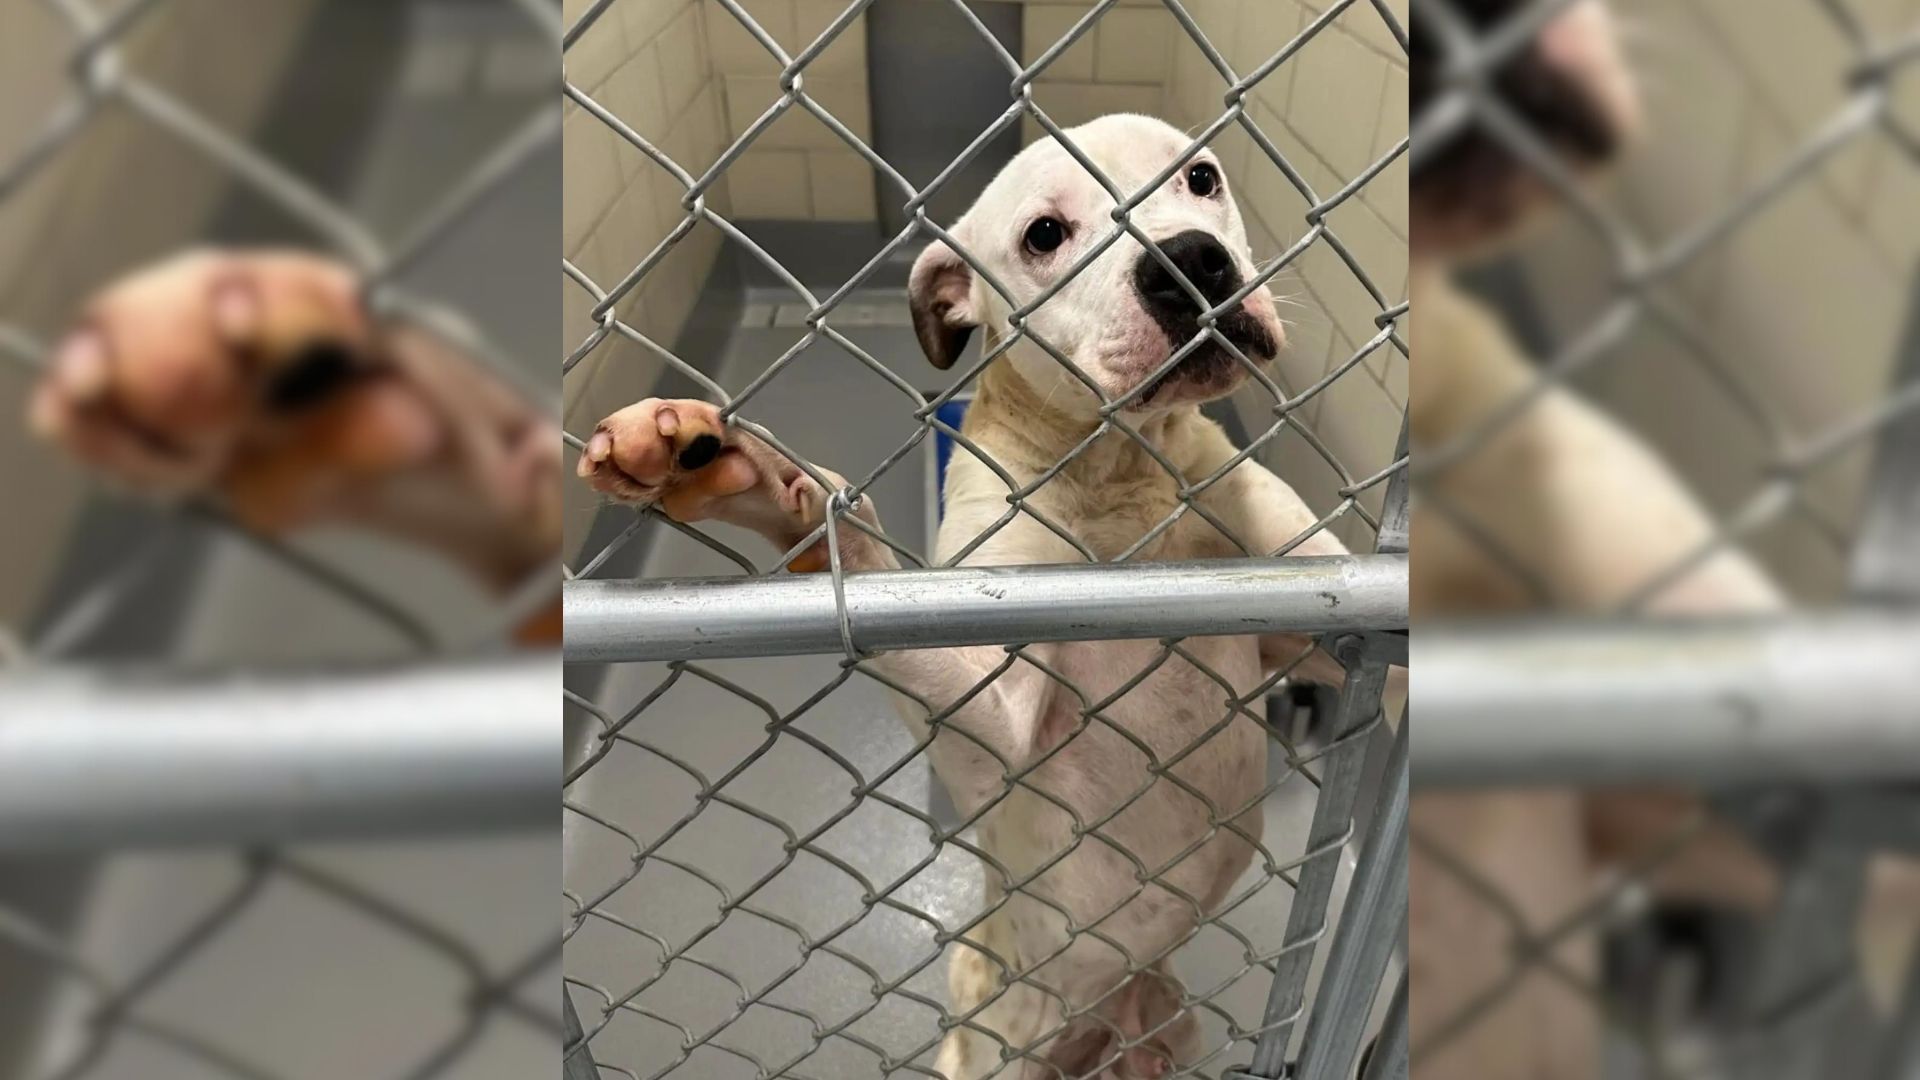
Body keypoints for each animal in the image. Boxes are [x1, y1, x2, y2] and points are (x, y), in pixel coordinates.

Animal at [576, 113, 1374, 1068]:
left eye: (1201, 178)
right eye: (1044, 235)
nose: (1192, 260)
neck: (1120, 470)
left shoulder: (1325, 624)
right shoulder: (995, 702)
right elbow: (863, 560)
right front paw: (759, 479)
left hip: (1169, 1024)